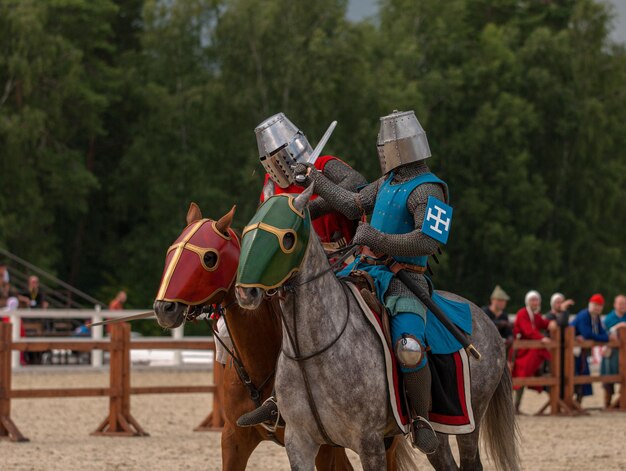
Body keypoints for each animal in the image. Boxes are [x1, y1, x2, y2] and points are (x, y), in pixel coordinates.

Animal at [152, 206, 376, 471]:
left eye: (209, 258)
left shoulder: (325, 445)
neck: (259, 365)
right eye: (172, 250)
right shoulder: (233, 439)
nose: (163, 309)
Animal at [234, 187, 516, 471]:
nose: (246, 293)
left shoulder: (369, 442)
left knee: (410, 351)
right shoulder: (299, 442)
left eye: (288, 238)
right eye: (248, 230)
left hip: (470, 424)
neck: (314, 352)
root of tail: (487, 320)